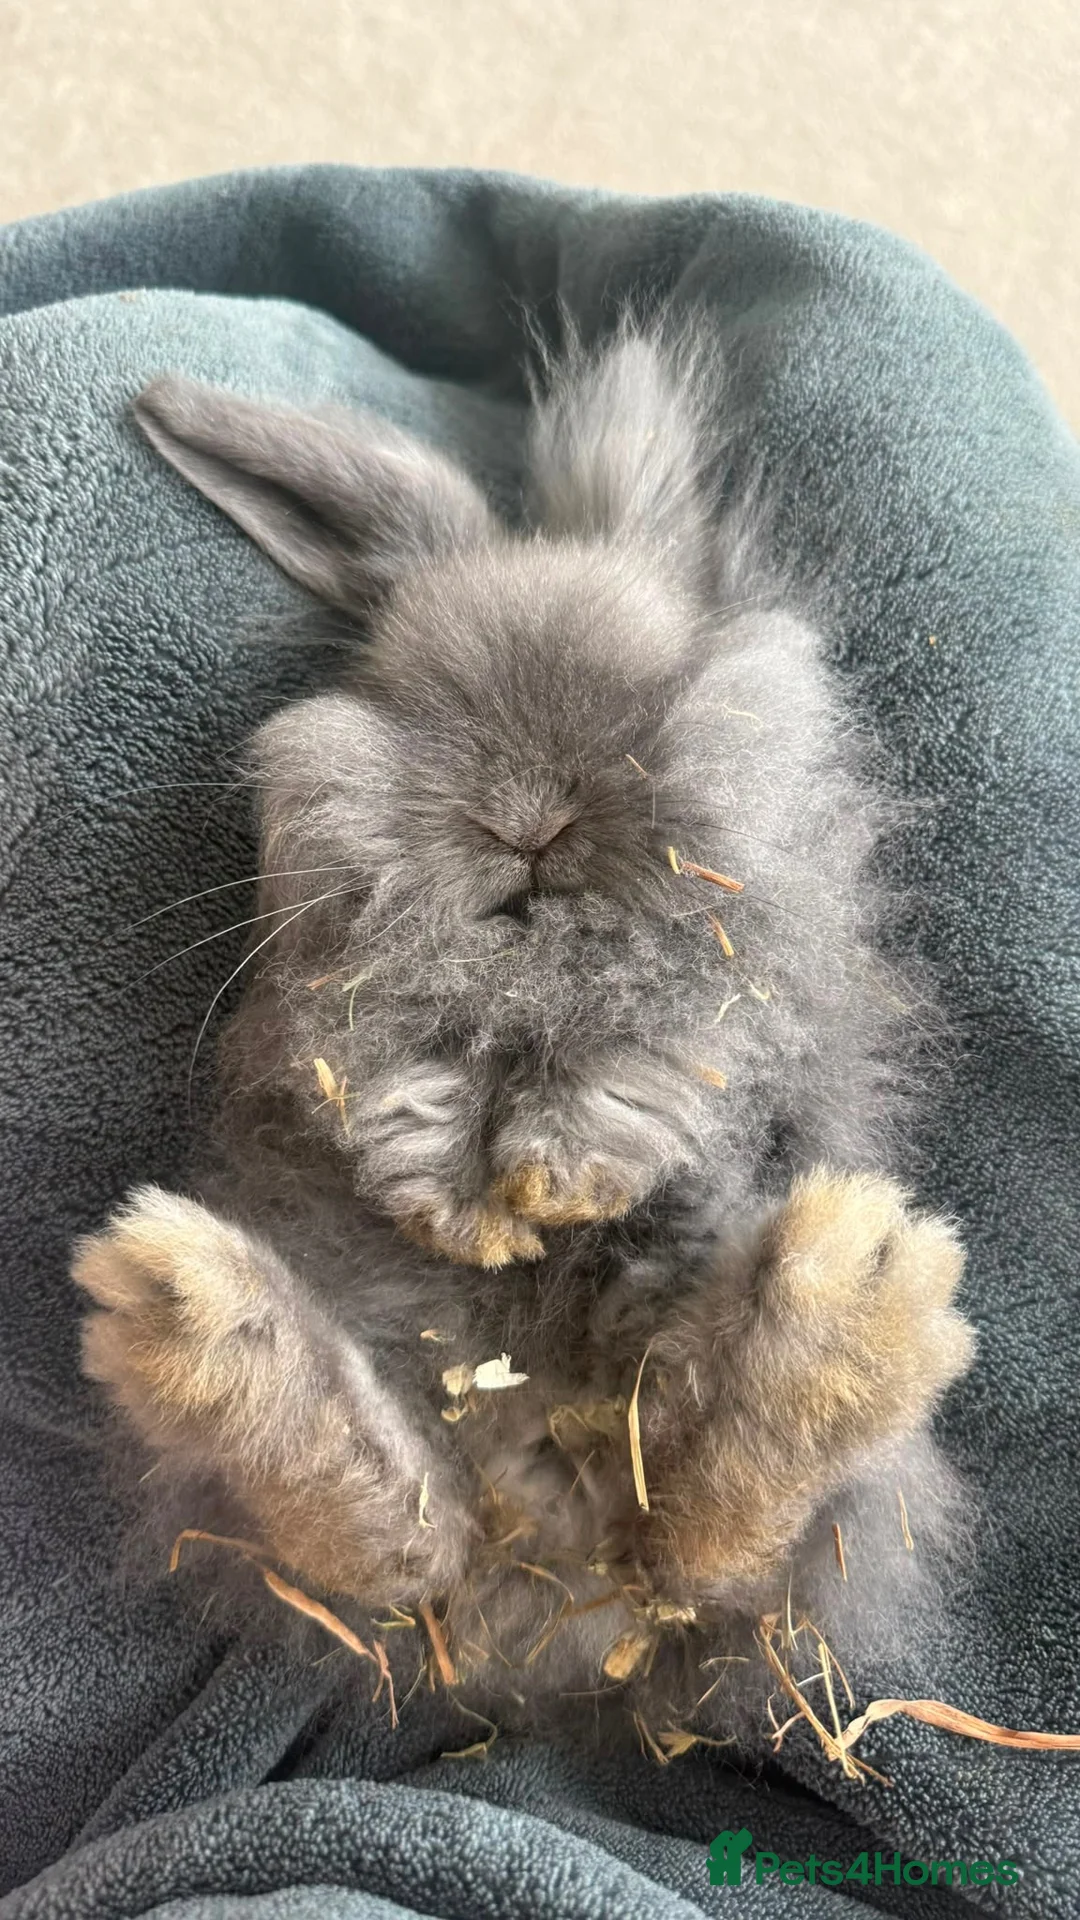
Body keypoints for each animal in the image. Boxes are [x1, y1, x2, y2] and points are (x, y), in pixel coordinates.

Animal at [73, 321, 973, 1753]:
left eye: (645, 687)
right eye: (409, 694)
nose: (527, 815)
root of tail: (553, 1614)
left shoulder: (732, 995)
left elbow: (641, 1061)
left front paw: (547, 1181)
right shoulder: (349, 1008)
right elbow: (398, 1078)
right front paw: (457, 1203)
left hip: (765, 1457)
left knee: (716, 1540)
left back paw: (856, 1297)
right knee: (400, 1538)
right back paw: (190, 1316)